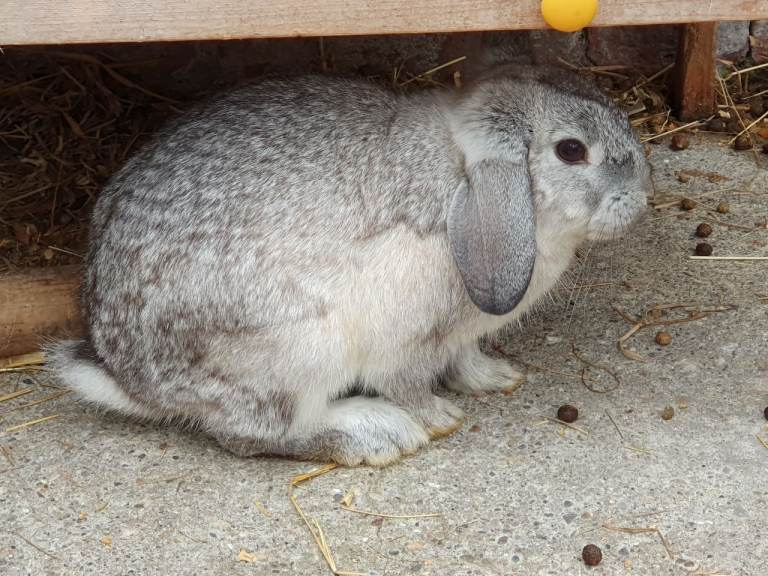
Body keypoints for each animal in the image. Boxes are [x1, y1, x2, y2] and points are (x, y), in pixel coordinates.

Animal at [48, 64, 651, 466]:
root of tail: (133, 382)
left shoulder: (459, 333)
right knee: (259, 435)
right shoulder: (406, 337)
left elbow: (463, 357)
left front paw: (494, 378)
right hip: (300, 352)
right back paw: (376, 435)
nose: (641, 197)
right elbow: (406, 381)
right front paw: (439, 417)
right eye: (571, 150)